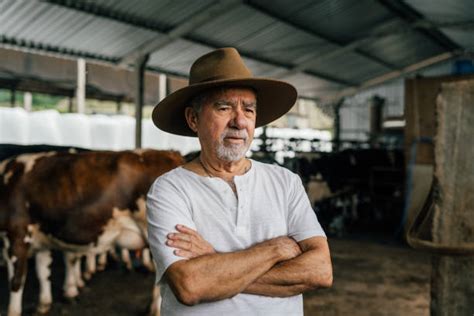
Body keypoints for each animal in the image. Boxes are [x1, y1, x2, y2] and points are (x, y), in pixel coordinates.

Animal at [0, 149, 183, 316]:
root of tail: (170, 153)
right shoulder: (42, 238)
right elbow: (43, 272)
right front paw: (43, 304)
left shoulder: (16, 235)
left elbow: (16, 281)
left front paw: (13, 312)